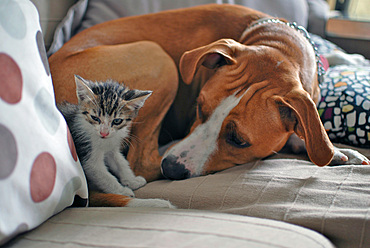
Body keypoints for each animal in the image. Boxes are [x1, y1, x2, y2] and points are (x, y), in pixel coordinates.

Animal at [48, 4, 368, 205]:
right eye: (199, 107)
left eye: (238, 140)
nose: (172, 169)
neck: (280, 43)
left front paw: (334, 151)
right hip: (160, 59)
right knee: (142, 162)